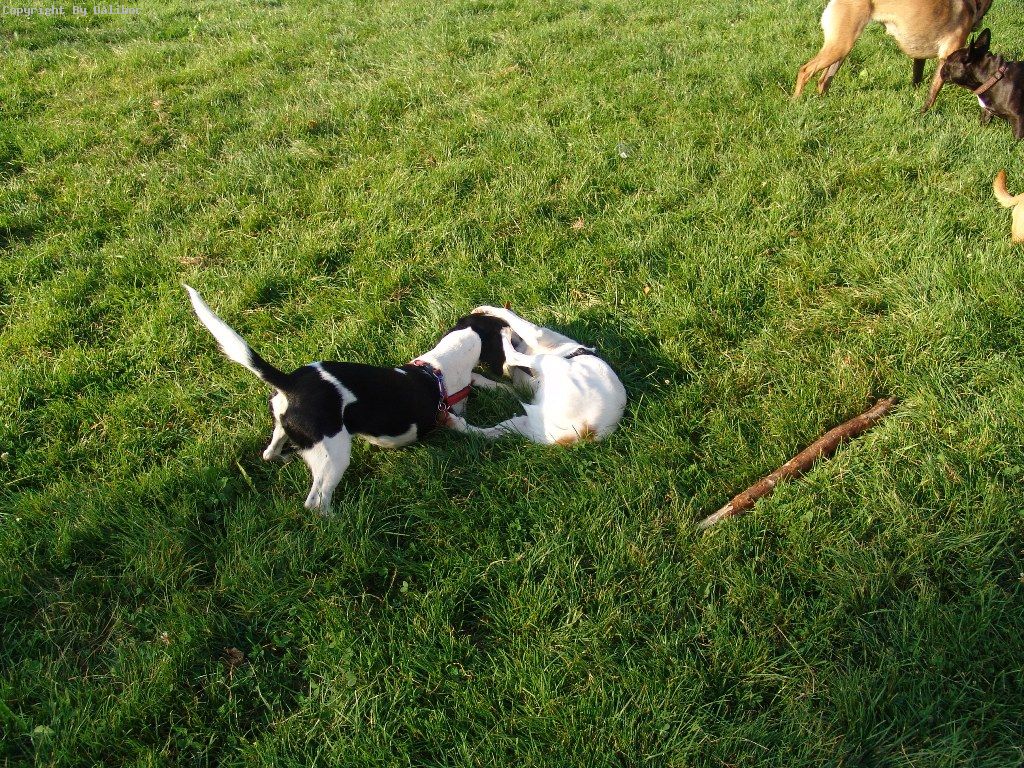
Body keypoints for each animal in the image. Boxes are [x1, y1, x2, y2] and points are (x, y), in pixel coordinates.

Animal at [184, 286, 508, 511]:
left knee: (269, 453)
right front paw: (499, 430)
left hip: (285, 428)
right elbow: (477, 429)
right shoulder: (450, 416)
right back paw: (338, 524)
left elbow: (480, 381)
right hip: (335, 455)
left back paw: (286, 457)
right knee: (316, 502)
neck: (437, 367)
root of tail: (290, 382)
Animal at [446, 306, 627, 446]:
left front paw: (485, 309)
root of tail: (584, 431)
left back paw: (505, 335)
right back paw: (454, 422)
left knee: (513, 356)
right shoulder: (520, 386)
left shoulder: (536, 334)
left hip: (550, 362)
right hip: (524, 424)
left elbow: (509, 314)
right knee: (484, 434)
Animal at [793, 0, 992, 110]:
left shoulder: (919, 59)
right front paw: (923, 114)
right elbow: (932, 94)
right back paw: (796, 102)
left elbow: (917, 81)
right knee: (805, 70)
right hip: (840, 47)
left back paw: (822, 103)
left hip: (842, 47)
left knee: (823, 80)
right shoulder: (946, 59)